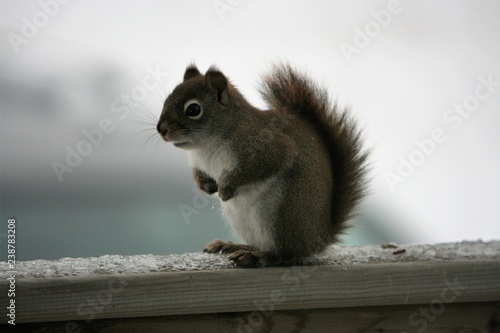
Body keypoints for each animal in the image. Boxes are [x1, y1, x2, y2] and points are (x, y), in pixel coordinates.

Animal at [156, 63, 368, 268]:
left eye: (193, 110)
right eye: (166, 100)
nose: (161, 129)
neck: (206, 146)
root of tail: (320, 237)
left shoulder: (269, 148)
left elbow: (257, 168)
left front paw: (226, 187)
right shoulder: (199, 162)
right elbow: (198, 174)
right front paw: (206, 186)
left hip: (281, 211)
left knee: (287, 254)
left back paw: (258, 257)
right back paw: (233, 246)